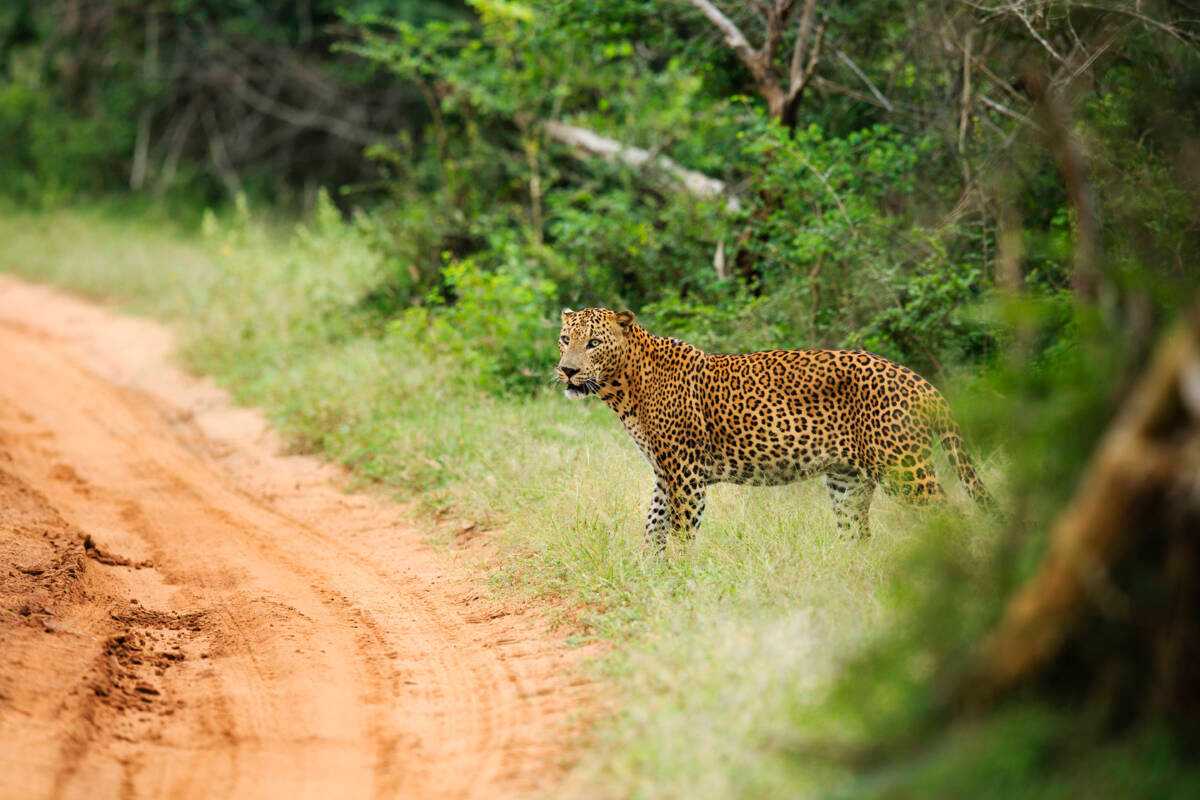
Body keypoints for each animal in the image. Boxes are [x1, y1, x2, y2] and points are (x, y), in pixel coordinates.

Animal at [556, 307, 998, 551]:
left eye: (593, 343)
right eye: (564, 339)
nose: (568, 370)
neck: (623, 386)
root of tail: (920, 382)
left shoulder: (685, 472)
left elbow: (681, 531)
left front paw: (681, 580)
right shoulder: (665, 474)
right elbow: (653, 527)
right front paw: (649, 575)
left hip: (903, 469)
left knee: (950, 515)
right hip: (847, 480)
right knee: (857, 534)